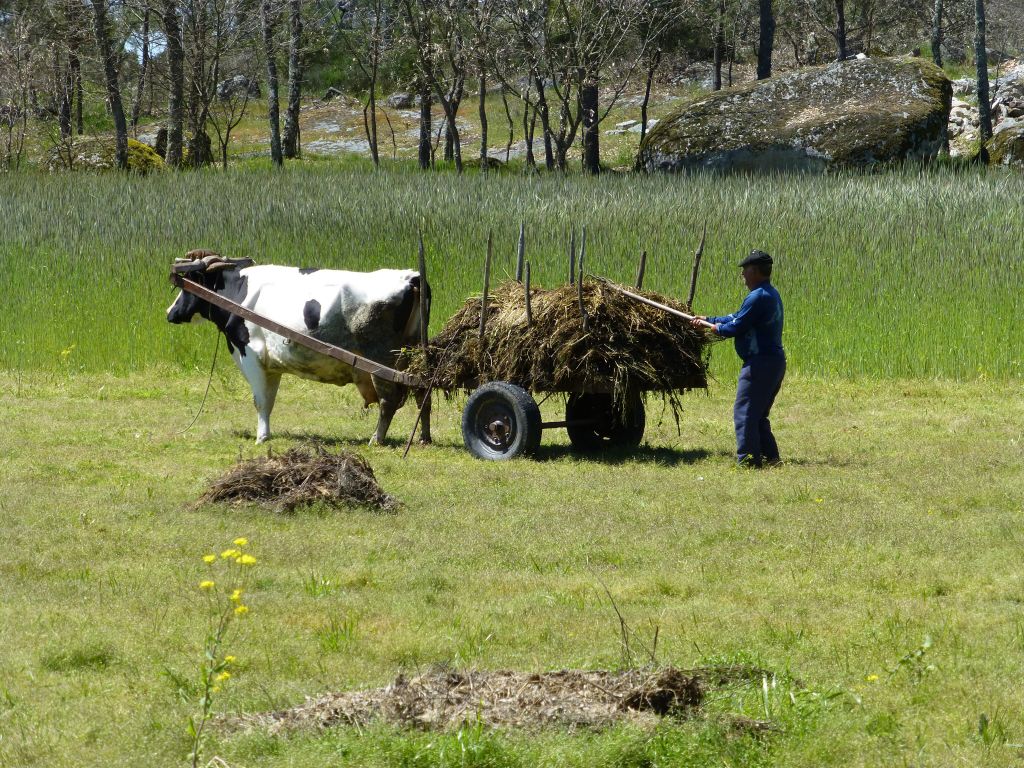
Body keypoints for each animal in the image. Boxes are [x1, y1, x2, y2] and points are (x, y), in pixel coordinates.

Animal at [165, 249, 430, 448]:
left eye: (186, 286)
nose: (169, 312)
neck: (238, 292)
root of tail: (411, 276)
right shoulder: (271, 364)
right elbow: (269, 400)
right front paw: (266, 433)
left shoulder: (249, 354)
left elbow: (259, 400)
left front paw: (261, 438)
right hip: (416, 354)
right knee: (421, 393)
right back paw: (423, 437)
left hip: (381, 359)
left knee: (389, 399)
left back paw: (376, 439)